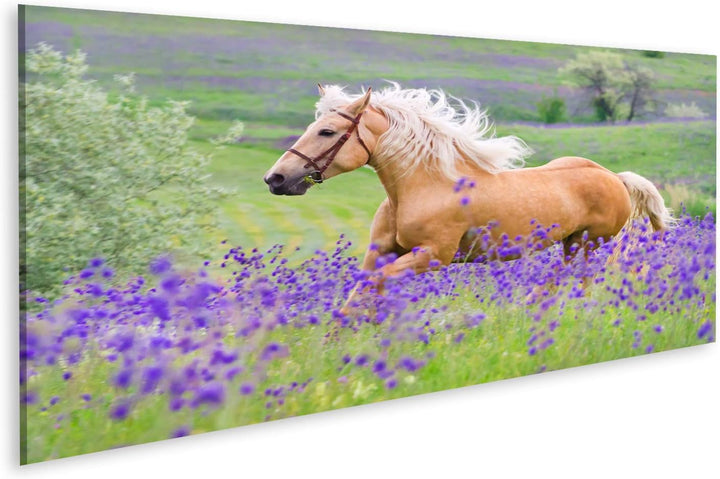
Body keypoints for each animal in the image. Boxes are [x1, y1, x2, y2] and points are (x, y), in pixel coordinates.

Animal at [263, 83, 673, 313]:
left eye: (328, 132)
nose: (275, 178)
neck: (422, 187)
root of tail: (614, 177)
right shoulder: (380, 253)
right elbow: (358, 295)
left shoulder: (432, 256)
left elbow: (374, 288)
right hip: (572, 244)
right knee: (559, 279)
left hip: (590, 244)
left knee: (581, 282)